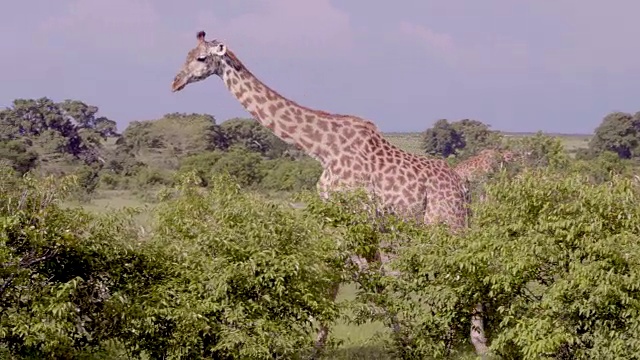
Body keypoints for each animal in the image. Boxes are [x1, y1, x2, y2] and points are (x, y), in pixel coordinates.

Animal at [172, 31, 488, 358]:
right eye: (186, 54)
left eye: (201, 58)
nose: (175, 82)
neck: (321, 148)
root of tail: (462, 184)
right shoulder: (341, 220)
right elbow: (339, 278)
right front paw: (318, 347)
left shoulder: (356, 218)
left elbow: (366, 280)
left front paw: (405, 344)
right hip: (448, 222)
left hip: (445, 222)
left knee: (464, 266)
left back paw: (475, 343)